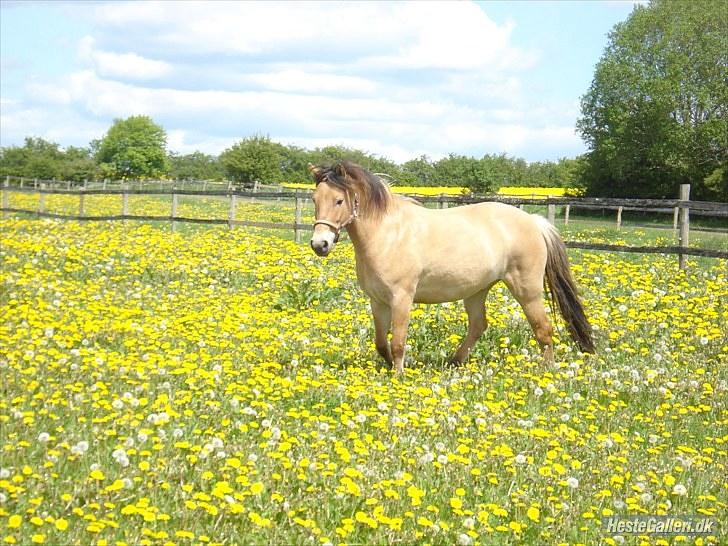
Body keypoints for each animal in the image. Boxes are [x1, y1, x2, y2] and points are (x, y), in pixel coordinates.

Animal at [306, 158, 592, 370]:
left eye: (339, 200)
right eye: (315, 200)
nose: (320, 244)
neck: (388, 234)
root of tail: (534, 221)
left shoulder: (402, 297)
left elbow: (398, 341)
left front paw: (398, 375)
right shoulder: (377, 301)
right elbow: (380, 343)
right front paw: (389, 367)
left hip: (527, 290)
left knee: (543, 329)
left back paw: (547, 370)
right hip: (477, 290)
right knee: (478, 325)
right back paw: (455, 361)